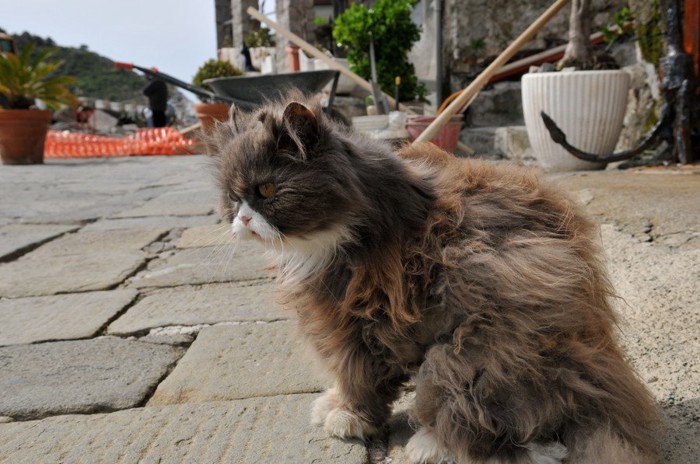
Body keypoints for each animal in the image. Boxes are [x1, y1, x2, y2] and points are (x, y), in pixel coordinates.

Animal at [211, 95, 660, 464]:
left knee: (492, 427)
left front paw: (348, 416)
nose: (243, 220)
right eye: (234, 197)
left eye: (267, 190)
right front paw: (336, 404)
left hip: (468, 356)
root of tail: (600, 381)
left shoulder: (358, 325)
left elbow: (357, 377)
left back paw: (430, 445)